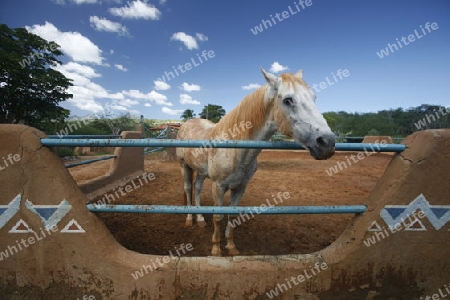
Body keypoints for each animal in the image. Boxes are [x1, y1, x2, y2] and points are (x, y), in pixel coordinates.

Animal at [175, 68, 334, 255]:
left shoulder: (240, 187)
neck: (235, 147)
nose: (327, 142)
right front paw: (216, 249)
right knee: (188, 188)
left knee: (197, 188)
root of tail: (186, 124)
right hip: (184, 166)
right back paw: (189, 218)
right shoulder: (218, 186)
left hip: (200, 171)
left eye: (313, 97)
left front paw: (231, 247)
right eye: (288, 100)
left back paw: (200, 218)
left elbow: (232, 215)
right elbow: (218, 216)